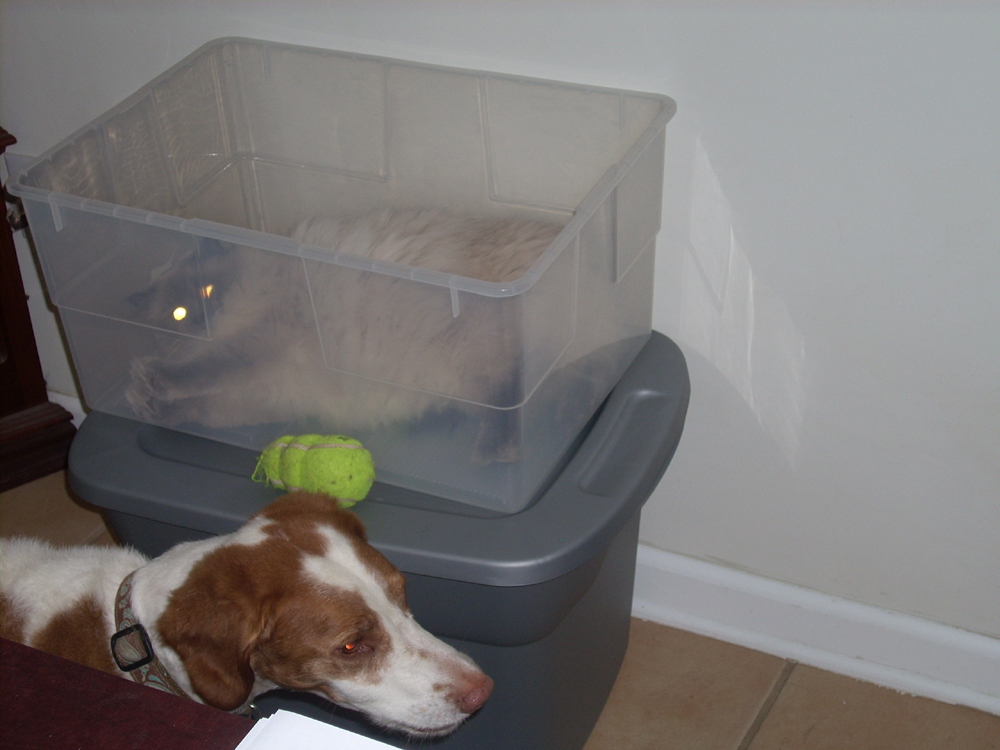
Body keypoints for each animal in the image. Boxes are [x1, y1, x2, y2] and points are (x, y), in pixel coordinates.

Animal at [125, 209, 562, 464]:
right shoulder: (258, 396)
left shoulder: (257, 341)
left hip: (467, 358)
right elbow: (199, 408)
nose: (205, 318)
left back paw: (492, 452)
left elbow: (203, 371)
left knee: (509, 396)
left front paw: (152, 382)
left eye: (208, 290)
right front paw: (147, 404)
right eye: (178, 314)